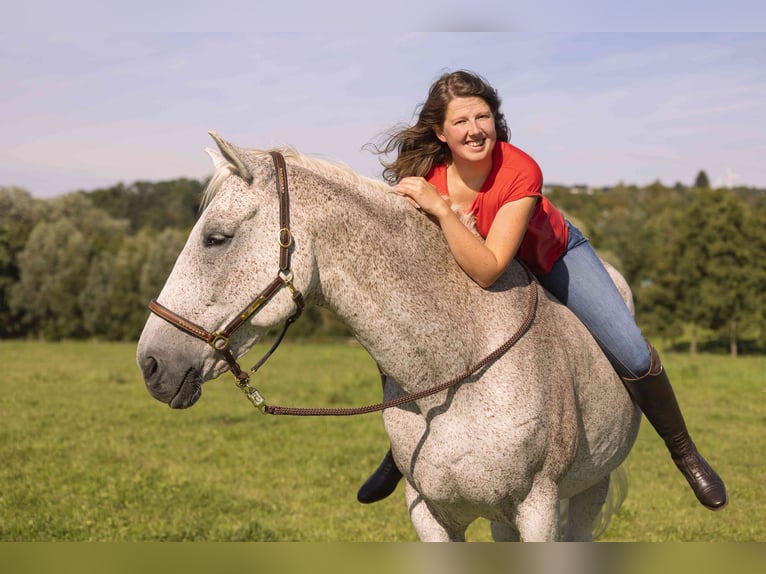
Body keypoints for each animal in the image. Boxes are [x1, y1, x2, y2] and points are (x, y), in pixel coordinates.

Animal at [138, 132, 640, 544]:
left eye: (216, 238)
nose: (150, 364)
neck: (461, 370)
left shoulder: (538, 510)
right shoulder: (431, 516)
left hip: (589, 491)